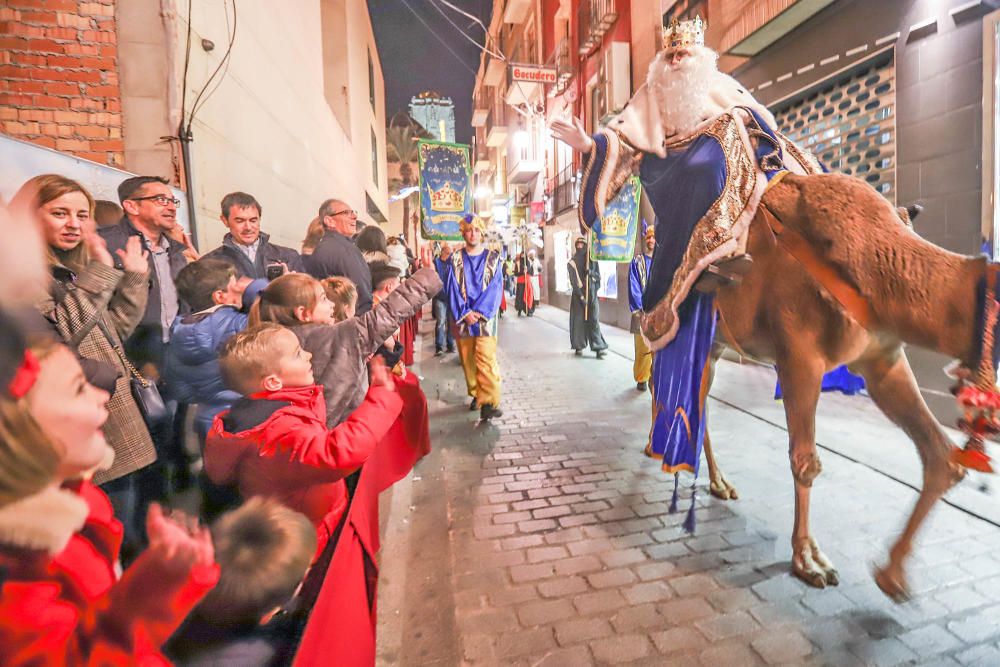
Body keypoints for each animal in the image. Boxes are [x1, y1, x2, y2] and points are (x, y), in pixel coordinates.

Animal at [656, 170, 984, 604]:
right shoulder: (799, 357)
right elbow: (806, 461)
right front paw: (809, 562)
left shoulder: (882, 360)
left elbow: (941, 456)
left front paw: (892, 574)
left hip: (714, 342)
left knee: (697, 400)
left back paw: (717, 482)